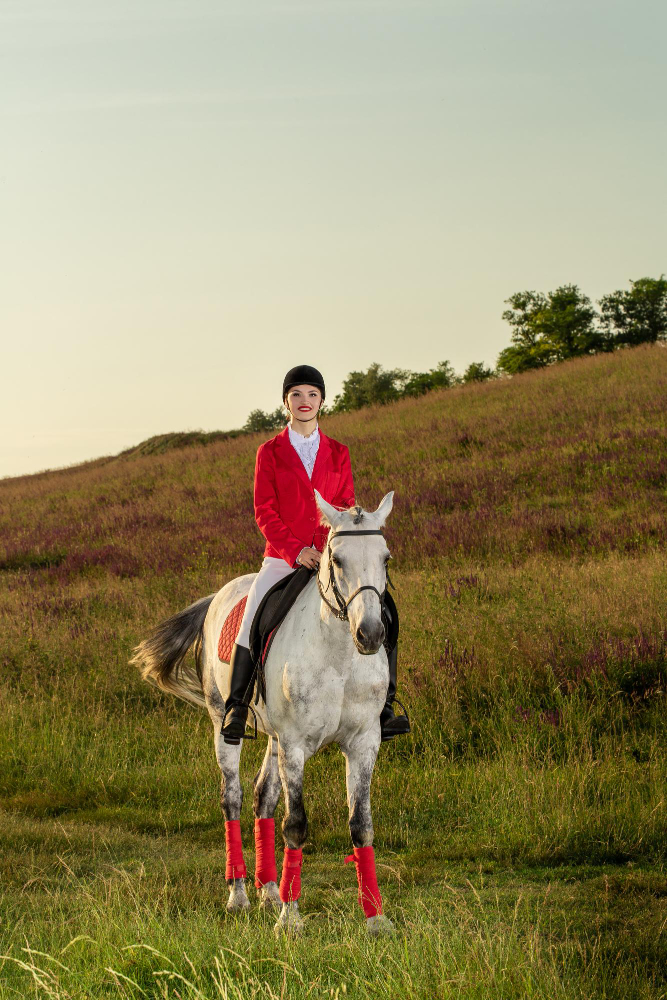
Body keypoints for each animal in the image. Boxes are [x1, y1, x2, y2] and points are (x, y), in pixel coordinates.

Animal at [133, 492, 400, 936]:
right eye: (337, 559)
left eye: (385, 558)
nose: (371, 635)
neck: (340, 657)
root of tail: (219, 596)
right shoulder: (295, 745)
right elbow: (296, 824)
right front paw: (290, 921)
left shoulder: (364, 743)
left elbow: (361, 825)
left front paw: (376, 919)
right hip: (226, 724)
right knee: (234, 798)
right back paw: (240, 894)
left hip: (275, 739)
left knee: (263, 797)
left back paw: (270, 890)